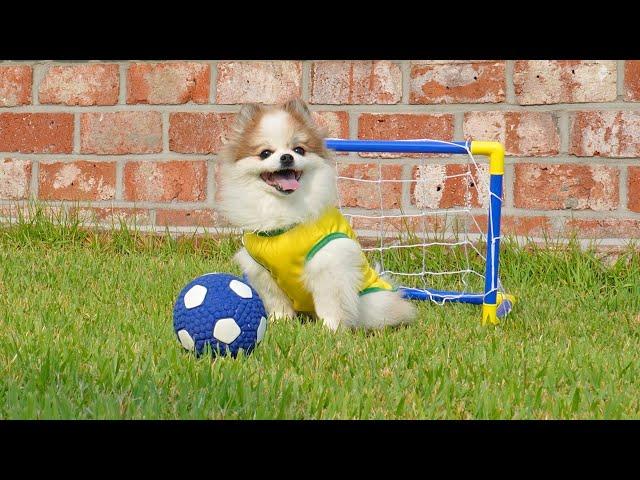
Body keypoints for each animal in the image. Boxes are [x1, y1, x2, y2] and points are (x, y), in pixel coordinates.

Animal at [215, 97, 416, 330]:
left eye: (299, 150)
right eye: (265, 153)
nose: (286, 157)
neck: (283, 209)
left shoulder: (328, 262)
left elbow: (330, 303)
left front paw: (331, 329)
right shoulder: (261, 269)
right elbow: (276, 299)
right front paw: (280, 321)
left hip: (373, 303)